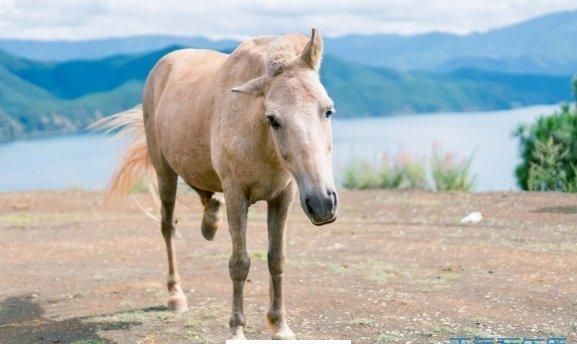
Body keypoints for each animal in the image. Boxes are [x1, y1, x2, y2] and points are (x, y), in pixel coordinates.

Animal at [95, 28, 338, 338]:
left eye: (328, 110)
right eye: (273, 119)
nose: (322, 203)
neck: (260, 140)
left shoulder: (284, 195)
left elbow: (277, 258)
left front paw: (280, 326)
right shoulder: (236, 194)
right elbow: (239, 263)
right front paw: (236, 330)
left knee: (205, 193)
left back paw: (210, 222)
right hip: (164, 172)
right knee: (168, 226)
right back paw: (175, 294)